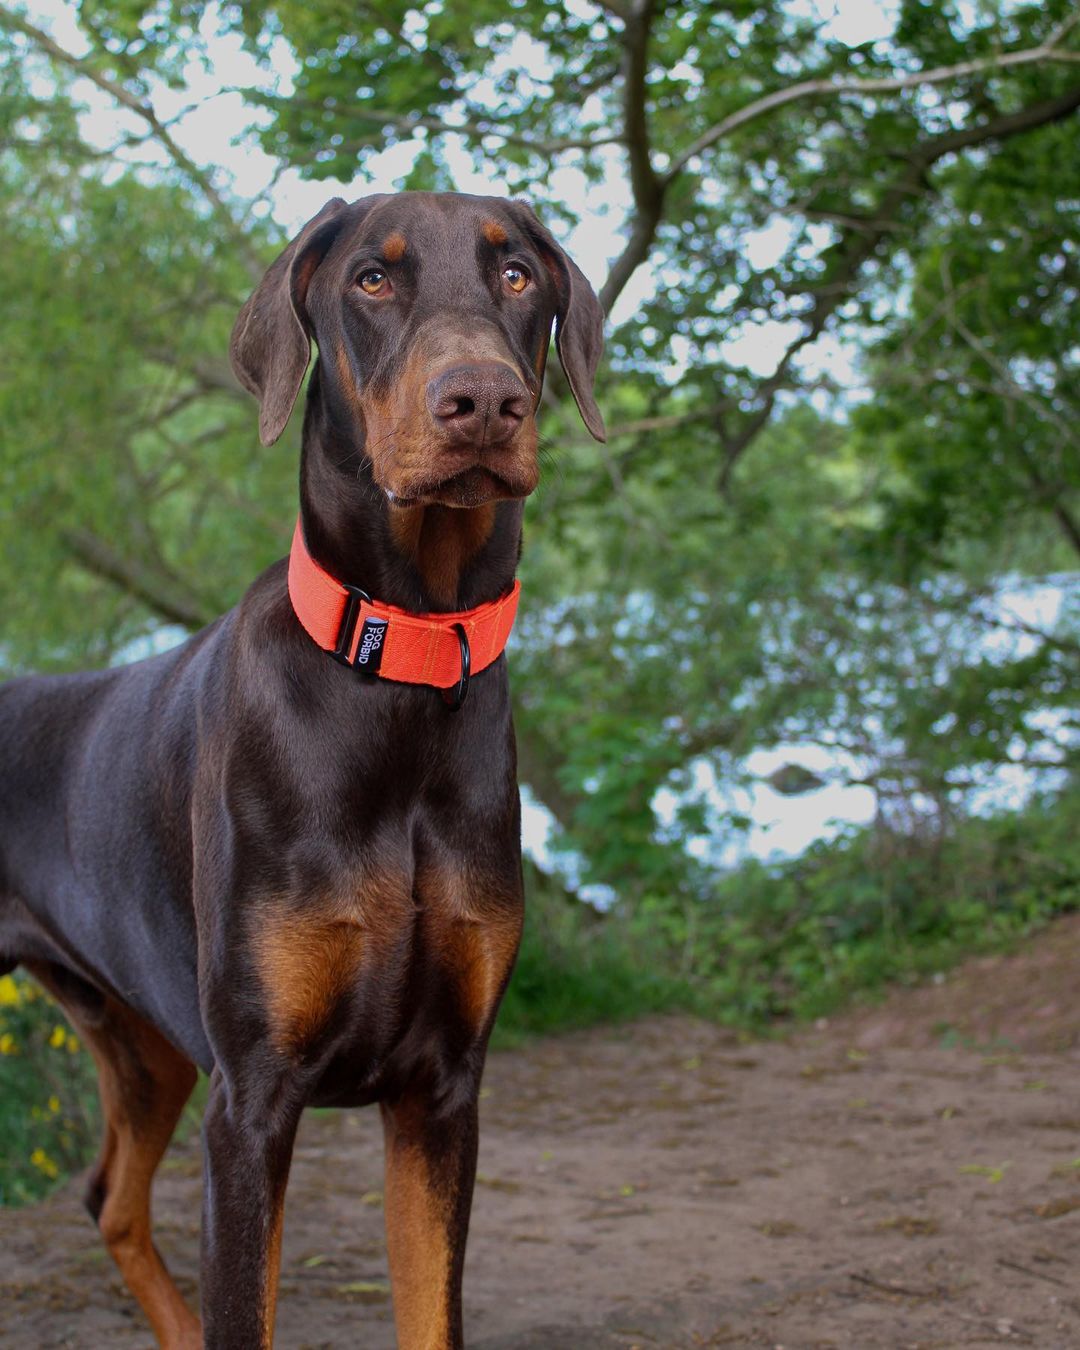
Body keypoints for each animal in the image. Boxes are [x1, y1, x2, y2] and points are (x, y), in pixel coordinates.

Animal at [0, 193, 607, 1350]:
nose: (483, 402)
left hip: (144, 1042)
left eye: (517, 276)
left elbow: (430, 1311)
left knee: (109, 1198)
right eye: (372, 278)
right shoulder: (254, 1099)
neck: (400, 669)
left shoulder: (441, 1092)